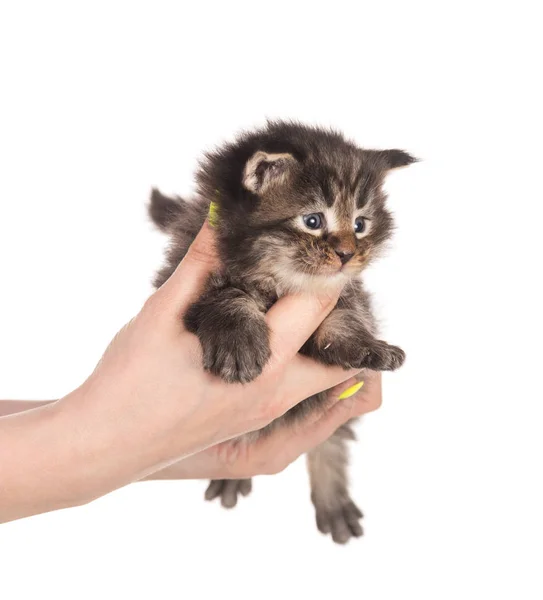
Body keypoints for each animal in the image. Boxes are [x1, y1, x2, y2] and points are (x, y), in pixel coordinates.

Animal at [150, 120, 416, 544]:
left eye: (360, 225)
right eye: (313, 221)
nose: (346, 254)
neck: (278, 280)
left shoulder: (345, 296)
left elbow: (345, 318)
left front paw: (366, 344)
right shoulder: (186, 287)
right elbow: (227, 298)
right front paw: (239, 342)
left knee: (331, 442)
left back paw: (333, 501)